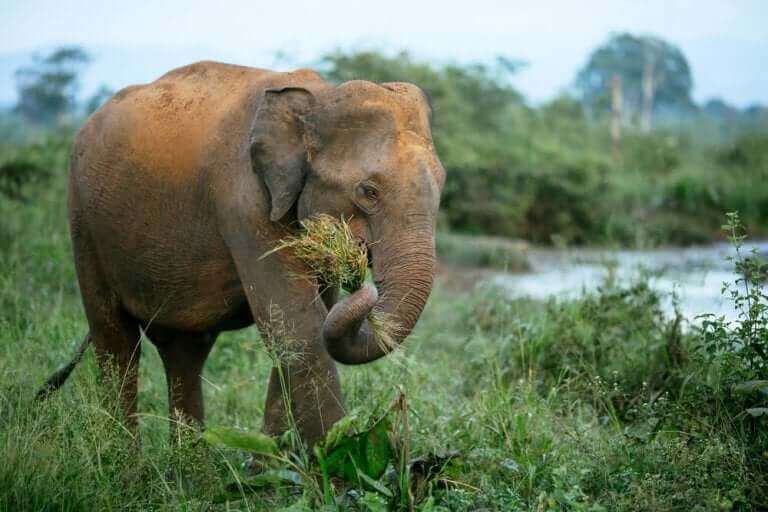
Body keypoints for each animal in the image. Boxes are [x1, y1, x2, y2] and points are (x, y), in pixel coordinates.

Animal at [40, 60, 445, 445]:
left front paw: (275, 464)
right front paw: (339, 461)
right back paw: (125, 463)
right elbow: (298, 327)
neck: (318, 97)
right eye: (368, 191)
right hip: (83, 220)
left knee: (184, 351)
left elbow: (307, 322)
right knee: (115, 341)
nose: (364, 285)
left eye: (441, 184)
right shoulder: (243, 202)